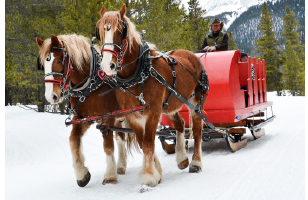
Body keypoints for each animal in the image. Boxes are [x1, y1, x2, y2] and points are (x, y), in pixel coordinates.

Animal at [36, 34, 137, 186]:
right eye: (43, 64)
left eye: (59, 61)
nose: (51, 97)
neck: (90, 84)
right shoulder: (82, 118)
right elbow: (73, 140)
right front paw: (82, 174)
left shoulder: (106, 117)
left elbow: (108, 145)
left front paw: (110, 175)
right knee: (121, 137)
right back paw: (121, 165)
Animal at [95, 4, 208, 188]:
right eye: (101, 33)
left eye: (119, 31)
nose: (106, 66)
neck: (137, 74)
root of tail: (193, 55)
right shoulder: (133, 115)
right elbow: (143, 143)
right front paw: (157, 172)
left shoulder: (153, 111)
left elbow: (148, 143)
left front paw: (148, 177)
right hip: (171, 104)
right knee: (180, 124)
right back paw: (182, 159)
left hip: (196, 100)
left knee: (197, 130)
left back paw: (195, 163)